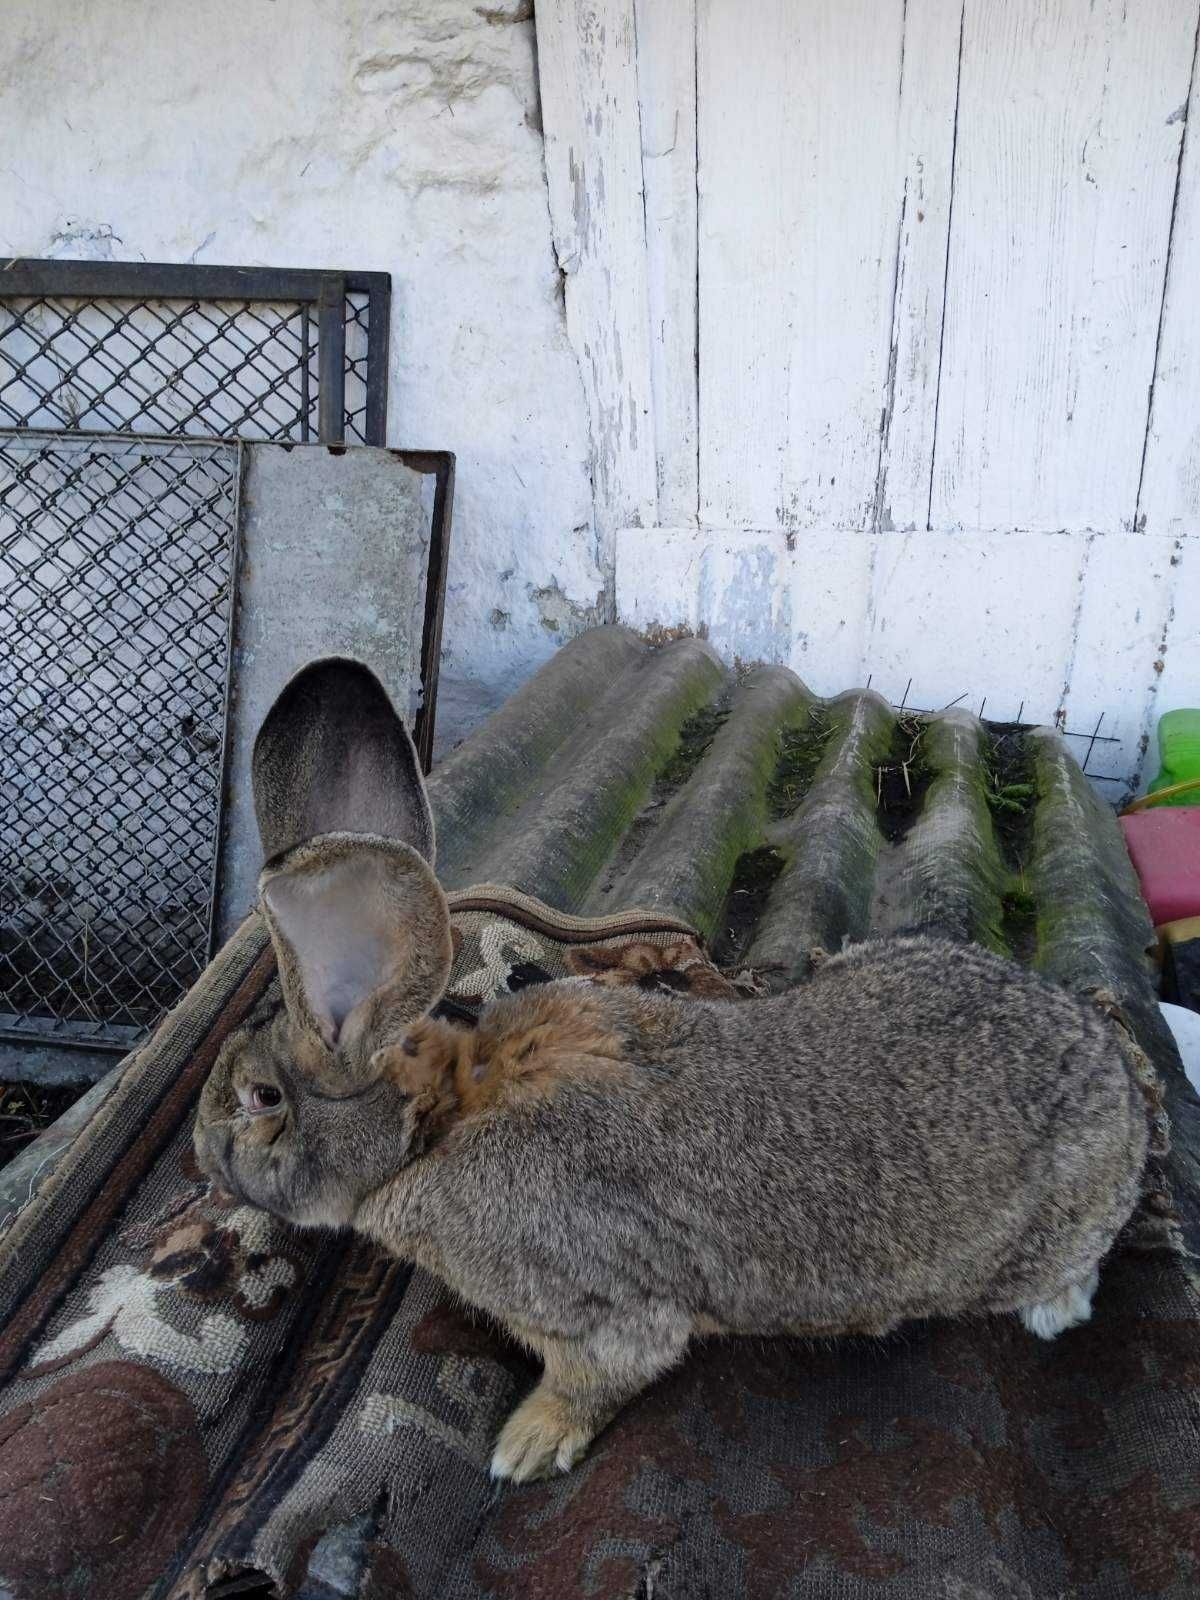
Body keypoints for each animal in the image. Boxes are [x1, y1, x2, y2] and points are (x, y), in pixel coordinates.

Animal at [195, 656, 1158, 1478]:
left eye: (260, 1097)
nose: (203, 1154)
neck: (442, 1115)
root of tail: (1121, 1083)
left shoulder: (605, 1312)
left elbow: (598, 1378)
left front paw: (526, 1447)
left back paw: (1053, 1308)